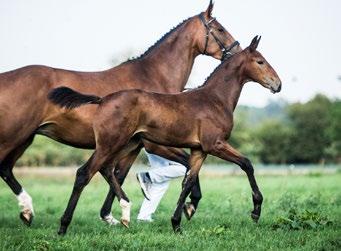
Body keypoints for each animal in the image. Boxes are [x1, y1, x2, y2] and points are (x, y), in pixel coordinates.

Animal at [49, 36, 280, 234]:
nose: (278, 84)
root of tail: (103, 100)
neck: (214, 99)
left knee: (107, 170)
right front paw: (256, 211)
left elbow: (188, 182)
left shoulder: (199, 150)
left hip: (127, 144)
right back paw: (63, 226)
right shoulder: (215, 144)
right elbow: (247, 164)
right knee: (84, 173)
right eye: (260, 61)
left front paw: (177, 223)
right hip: (110, 144)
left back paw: (124, 214)